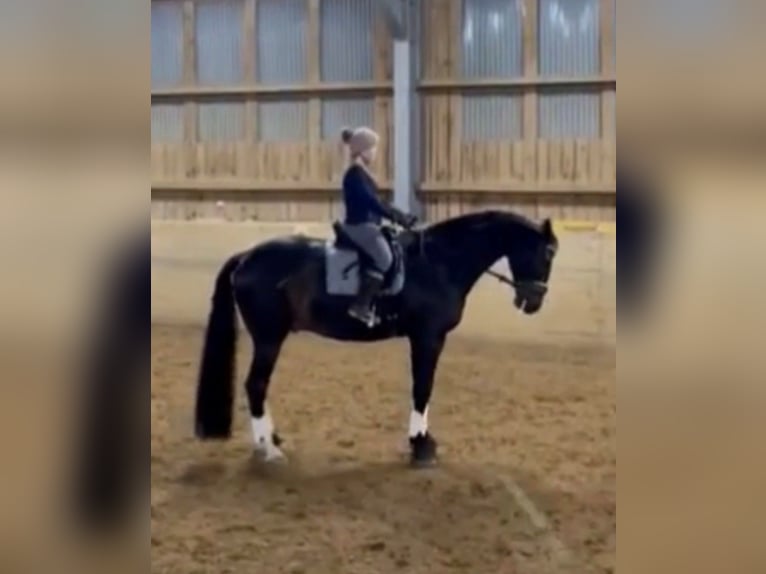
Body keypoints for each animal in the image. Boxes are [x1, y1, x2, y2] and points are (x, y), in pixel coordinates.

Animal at [193, 209, 559, 466]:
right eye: (546, 254)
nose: (533, 302)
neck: (439, 262)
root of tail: (246, 257)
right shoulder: (428, 337)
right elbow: (422, 388)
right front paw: (421, 447)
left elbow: (422, 389)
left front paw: (423, 442)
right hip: (269, 338)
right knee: (256, 384)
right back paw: (268, 449)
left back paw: (273, 438)